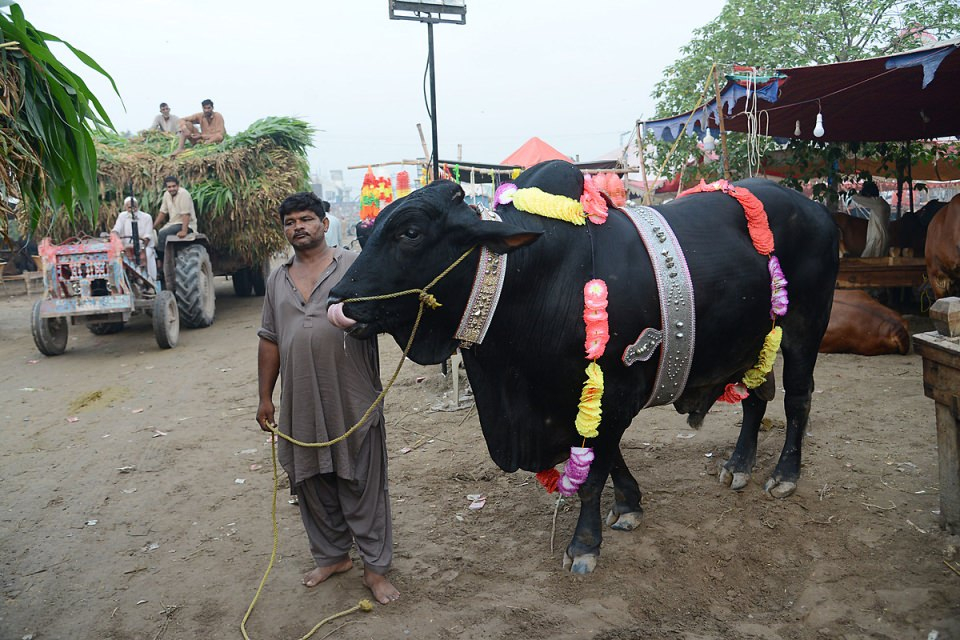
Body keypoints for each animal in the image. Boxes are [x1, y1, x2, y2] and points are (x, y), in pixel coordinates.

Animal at [330, 161, 840, 576]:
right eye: (365, 234)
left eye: (410, 232)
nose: (337, 302)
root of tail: (815, 209)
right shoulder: (579, 401)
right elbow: (607, 459)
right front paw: (630, 504)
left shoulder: (614, 393)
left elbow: (593, 475)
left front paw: (584, 545)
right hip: (756, 341)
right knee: (755, 398)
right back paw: (738, 465)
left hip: (804, 328)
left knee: (797, 398)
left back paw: (784, 475)